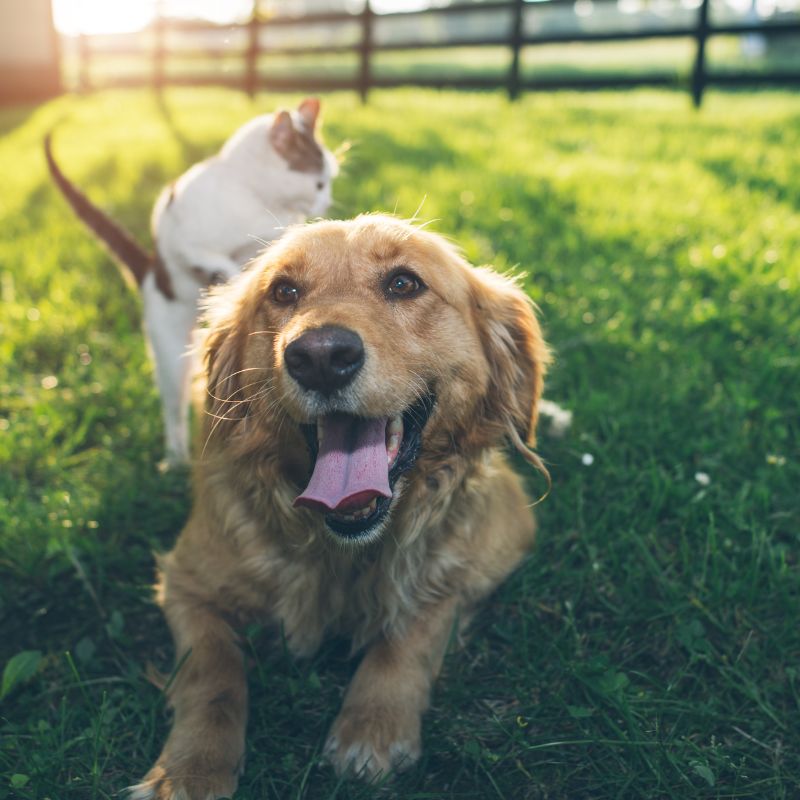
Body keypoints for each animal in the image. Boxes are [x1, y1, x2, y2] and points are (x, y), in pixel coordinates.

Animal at [44, 98, 338, 462]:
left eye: (329, 182)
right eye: (318, 184)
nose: (327, 201)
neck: (255, 199)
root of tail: (150, 271)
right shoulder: (183, 239)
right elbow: (215, 260)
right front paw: (230, 282)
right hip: (170, 354)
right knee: (173, 409)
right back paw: (176, 459)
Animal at [131, 214, 552, 800]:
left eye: (404, 283)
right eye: (283, 291)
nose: (320, 357)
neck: (342, 551)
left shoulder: (495, 545)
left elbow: (417, 626)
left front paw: (373, 725)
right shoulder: (185, 583)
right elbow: (212, 672)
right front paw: (191, 767)